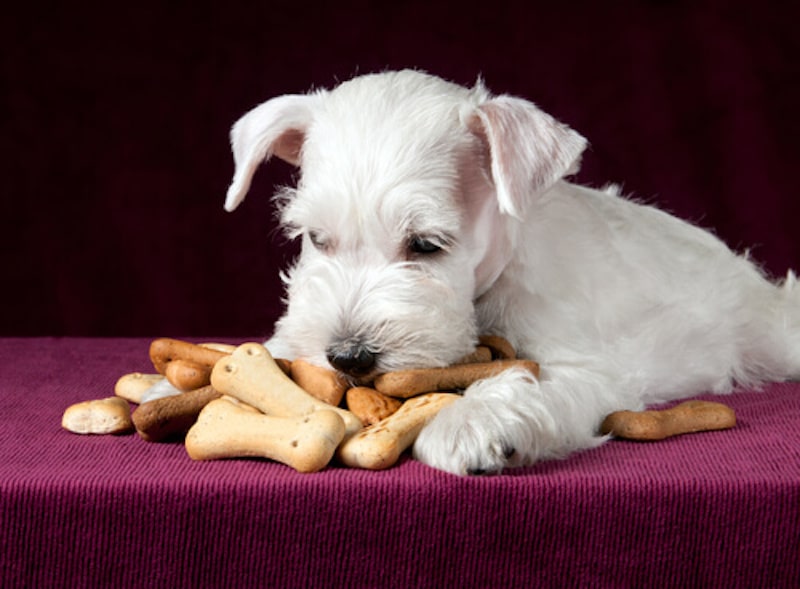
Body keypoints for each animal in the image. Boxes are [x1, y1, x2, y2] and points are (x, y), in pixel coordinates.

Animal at [220, 69, 800, 474]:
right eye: (317, 239)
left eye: (426, 244)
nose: (346, 356)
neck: (491, 284)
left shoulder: (588, 368)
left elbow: (527, 381)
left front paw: (470, 422)